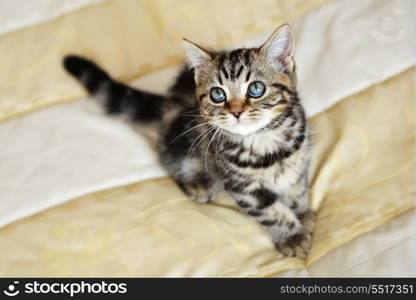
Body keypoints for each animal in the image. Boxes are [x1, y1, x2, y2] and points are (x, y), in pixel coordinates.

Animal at [63, 24, 314, 258]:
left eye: (256, 88)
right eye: (218, 94)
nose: (236, 112)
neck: (265, 142)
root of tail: (168, 100)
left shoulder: (300, 161)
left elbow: (297, 189)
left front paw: (303, 215)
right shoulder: (240, 185)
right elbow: (268, 210)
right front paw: (292, 236)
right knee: (168, 158)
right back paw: (198, 183)